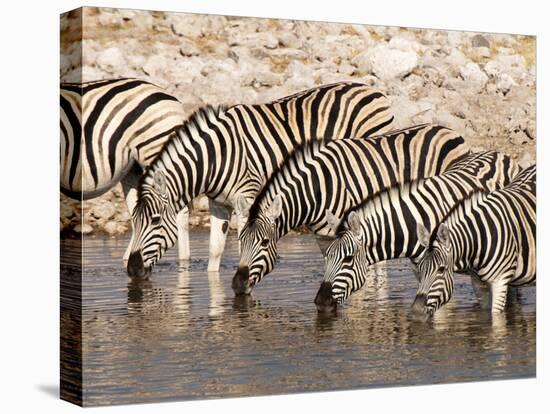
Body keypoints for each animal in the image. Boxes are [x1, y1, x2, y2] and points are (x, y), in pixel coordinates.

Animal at [127, 81, 398, 278]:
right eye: (134, 221)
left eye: (155, 220)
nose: (132, 269)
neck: (216, 156)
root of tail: (373, 90)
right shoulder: (219, 204)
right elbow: (215, 250)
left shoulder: (247, 197)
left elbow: (243, 245)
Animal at [233, 124, 470, 296]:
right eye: (240, 240)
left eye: (264, 242)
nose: (237, 285)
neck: (318, 189)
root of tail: (449, 130)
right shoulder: (323, 236)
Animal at [314, 150, 520, 312]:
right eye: (327, 256)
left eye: (348, 259)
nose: (320, 302)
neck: (416, 222)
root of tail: (500, 153)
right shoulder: (421, 271)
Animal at [414, 163, 536, 316]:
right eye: (420, 268)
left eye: (441, 269)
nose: (416, 311)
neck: (479, 241)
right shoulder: (479, 284)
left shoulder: (500, 281)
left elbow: (495, 316)